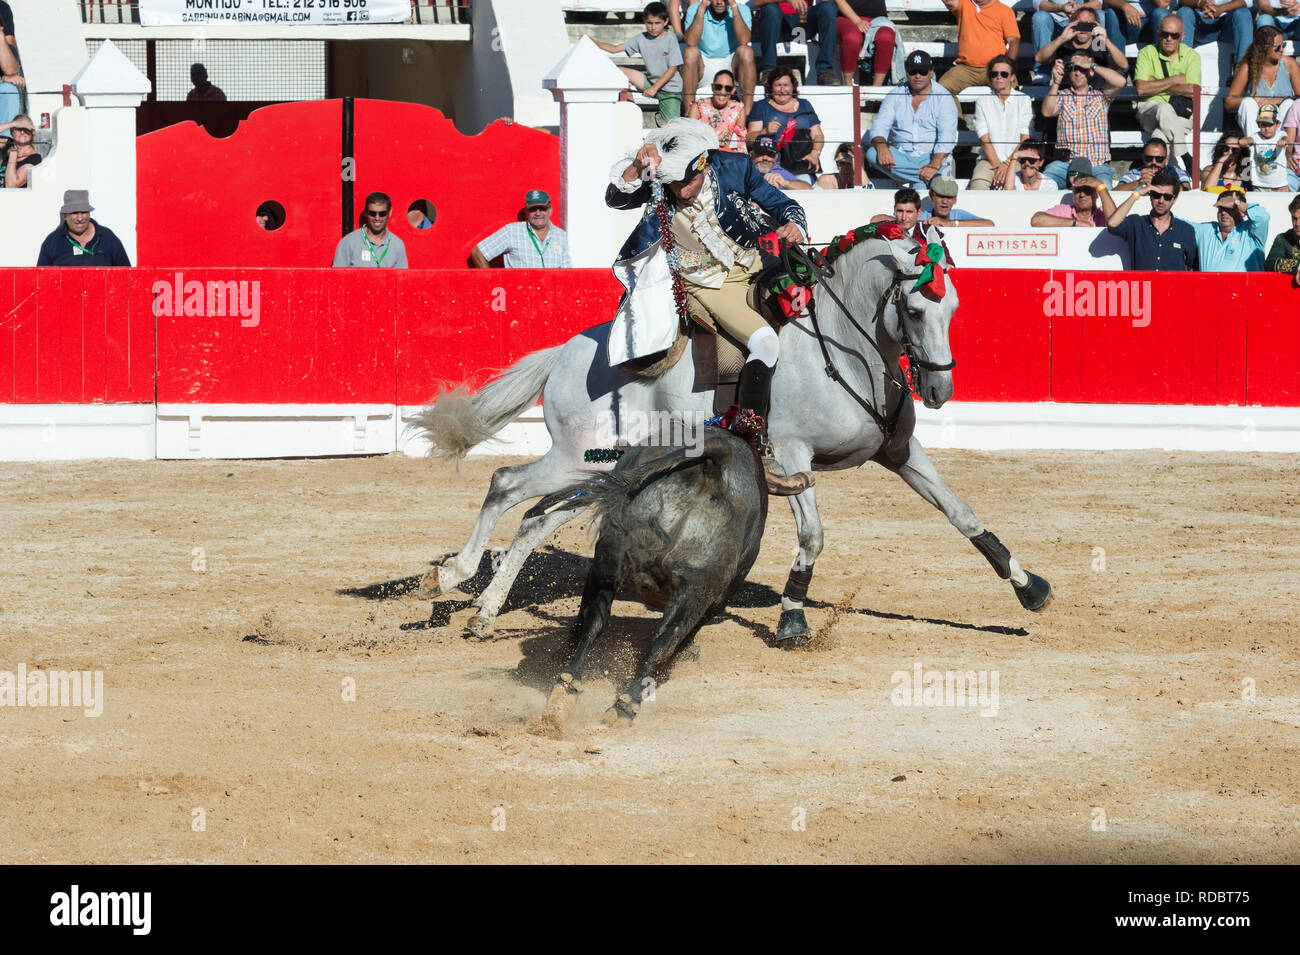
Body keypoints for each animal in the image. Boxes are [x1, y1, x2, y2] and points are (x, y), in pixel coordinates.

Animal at [416, 226, 1045, 641]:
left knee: (535, 519)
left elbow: (962, 514)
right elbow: (813, 535)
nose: (939, 390)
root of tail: (568, 353)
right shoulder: (792, 455)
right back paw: (450, 576)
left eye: (953, 307)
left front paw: (1027, 586)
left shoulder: (899, 451)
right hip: (576, 458)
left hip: (603, 471)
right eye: (915, 310)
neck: (846, 345)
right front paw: (792, 618)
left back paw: (485, 613)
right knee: (505, 484)